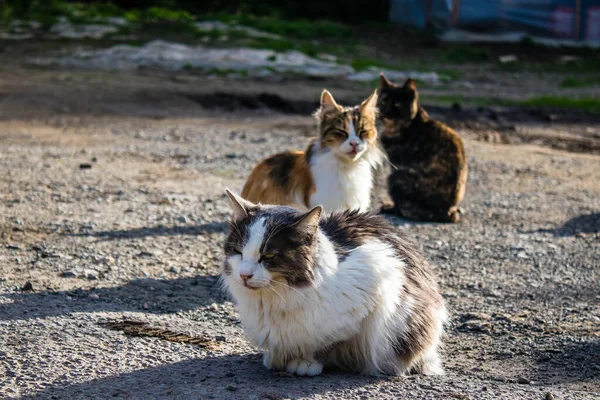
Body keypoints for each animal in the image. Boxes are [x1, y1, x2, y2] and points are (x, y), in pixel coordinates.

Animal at [220, 189, 446, 376]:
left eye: (269, 256)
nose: (244, 275)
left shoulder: (376, 280)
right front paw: (277, 357)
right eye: (238, 252)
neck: (273, 299)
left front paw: (305, 362)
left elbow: (325, 343)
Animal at [378, 74, 466, 223]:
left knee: (405, 209)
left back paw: (389, 209)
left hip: (395, 177)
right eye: (383, 102)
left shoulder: (396, 165)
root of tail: (447, 212)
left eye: (396, 106)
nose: (384, 114)